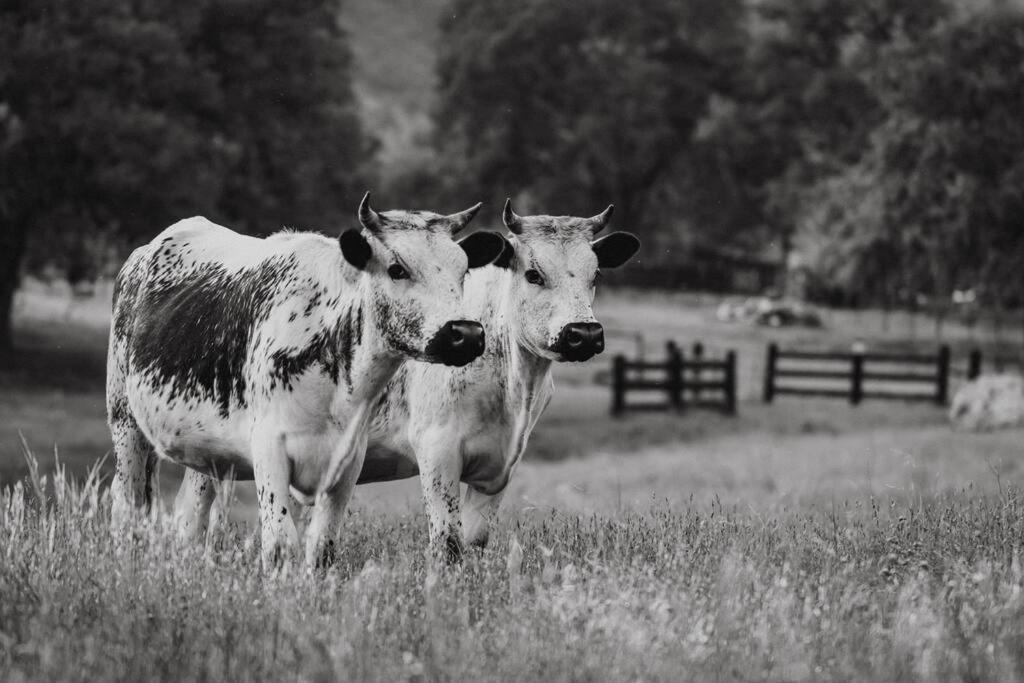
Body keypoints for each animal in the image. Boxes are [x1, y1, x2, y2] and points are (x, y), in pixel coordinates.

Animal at [105, 193, 505, 565]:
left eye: (463, 271)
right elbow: (279, 545)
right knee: (126, 506)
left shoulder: (347, 463)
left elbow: (323, 548)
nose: (466, 333)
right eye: (397, 269)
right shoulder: (269, 451)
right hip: (125, 424)